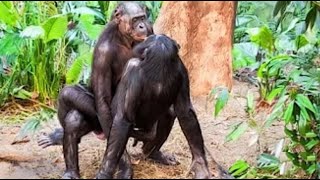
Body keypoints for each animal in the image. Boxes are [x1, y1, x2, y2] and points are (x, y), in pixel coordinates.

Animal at [37, 1, 179, 179]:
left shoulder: (151, 32)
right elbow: (103, 101)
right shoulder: (102, 53)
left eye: (142, 18)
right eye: (135, 19)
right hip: (96, 123)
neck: (125, 39)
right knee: (71, 105)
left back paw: (154, 153)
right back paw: (67, 160)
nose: (141, 25)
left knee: (168, 112)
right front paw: (125, 168)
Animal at [96, 33, 211, 179]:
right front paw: (200, 165)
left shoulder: (132, 68)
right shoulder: (182, 68)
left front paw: (106, 170)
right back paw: (152, 152)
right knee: (170, 114)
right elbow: (186, 112)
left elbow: (123, 118)